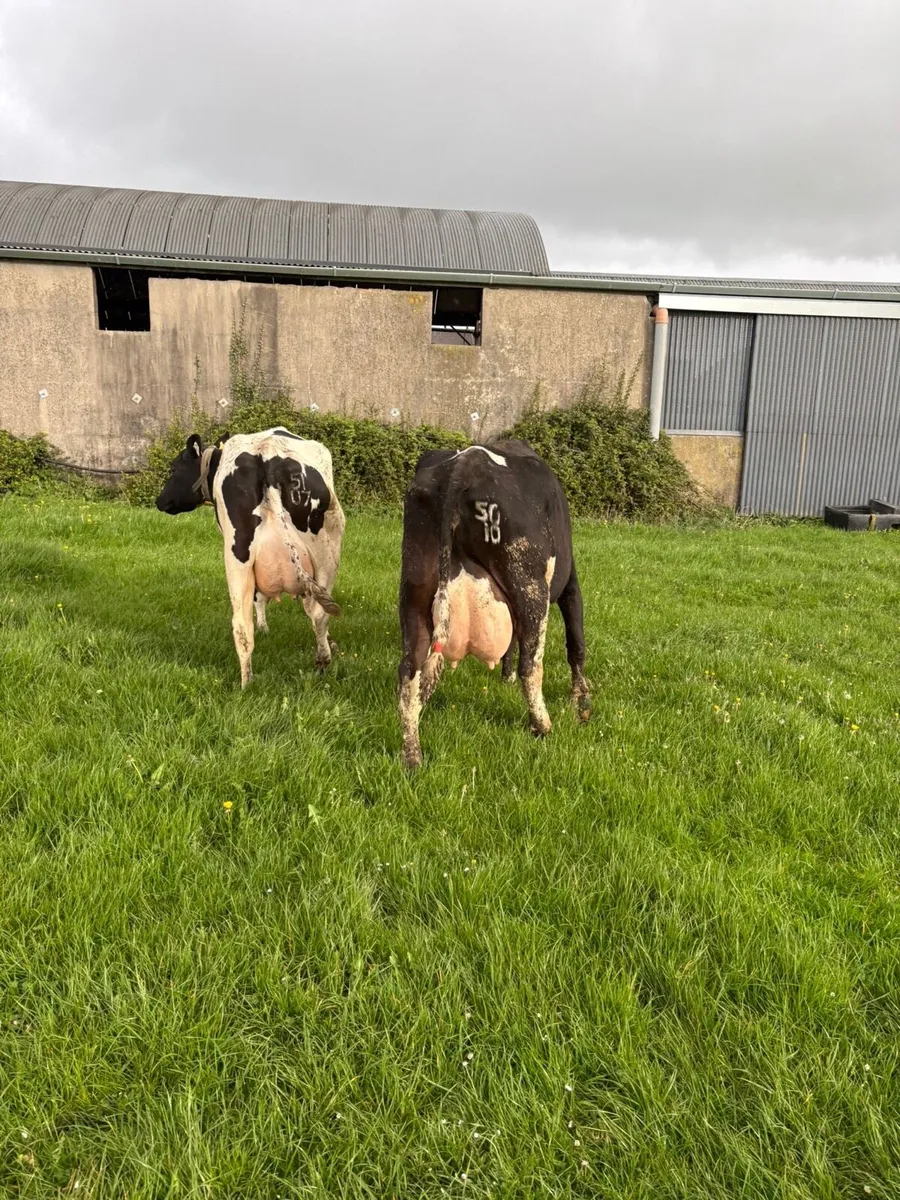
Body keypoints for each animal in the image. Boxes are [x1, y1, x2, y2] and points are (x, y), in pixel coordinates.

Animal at [156, 427, 344, 685]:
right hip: (322, 555)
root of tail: (267, 455)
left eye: (174, 468)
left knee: (249, 622)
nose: (159, 501)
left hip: (243, 555)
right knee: (313, 614)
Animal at [398, 439, 590, 768]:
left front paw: (505, 676)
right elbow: (575, 641)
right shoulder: (570, 583)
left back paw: (413, 757)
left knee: (409, 673)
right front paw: (580, 698)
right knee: (531, 664)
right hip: (531, 587)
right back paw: (542, 725)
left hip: (414, 588)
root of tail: (463, 467)